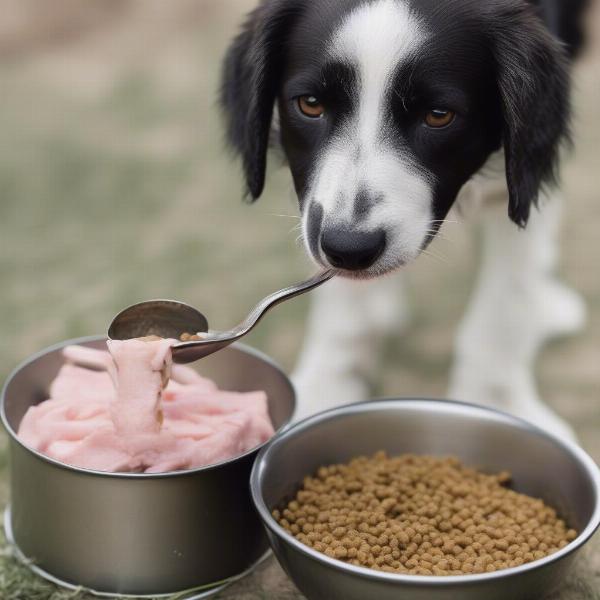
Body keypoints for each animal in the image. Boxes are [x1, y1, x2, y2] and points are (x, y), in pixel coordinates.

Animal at [219, 0, 584, 440]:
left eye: (439, 115)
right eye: (310, 104)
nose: (349, 250)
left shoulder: (519, 178)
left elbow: (506, 296)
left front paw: (497, 402)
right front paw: (328, 387)